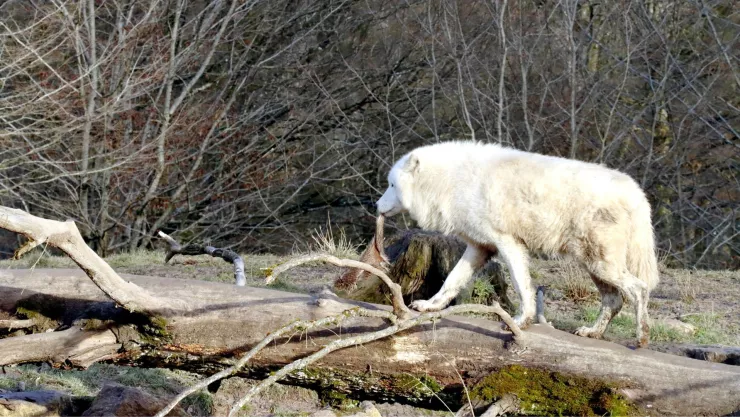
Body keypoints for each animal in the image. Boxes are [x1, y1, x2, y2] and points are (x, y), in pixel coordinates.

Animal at [376, 141, 659, 346]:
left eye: (391, 185)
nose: (376, 206)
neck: (452, 182)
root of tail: (637, 193)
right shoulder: (480, 247)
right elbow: (451, 282)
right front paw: (429, 306)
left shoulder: (508, 243)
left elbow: (522, 286)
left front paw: (521, 321)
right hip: (595, 266)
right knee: (614, 301)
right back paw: (592, 332)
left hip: (600, 264)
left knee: (639, 289)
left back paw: (641, 338)